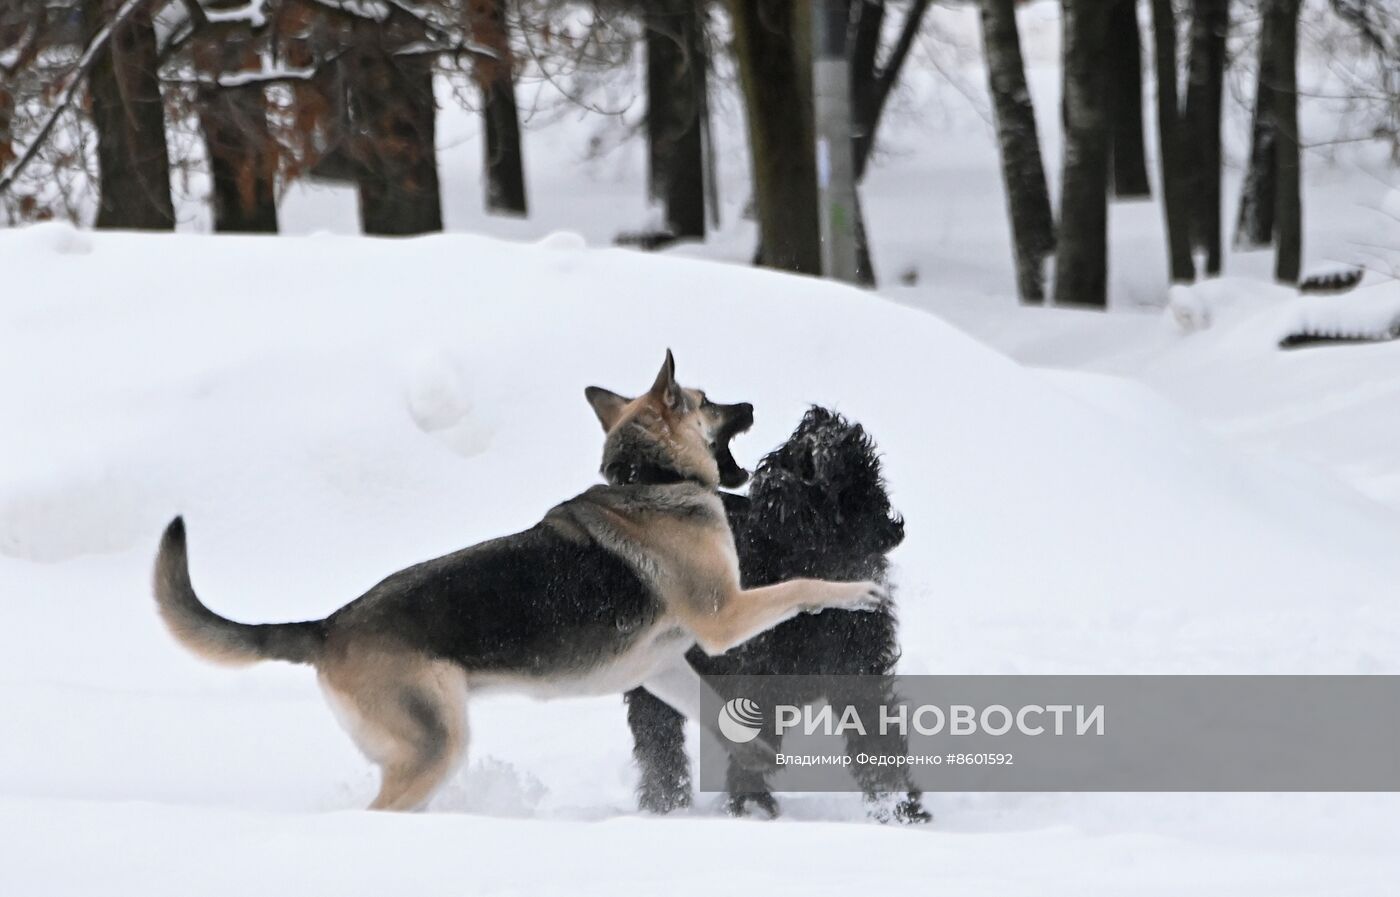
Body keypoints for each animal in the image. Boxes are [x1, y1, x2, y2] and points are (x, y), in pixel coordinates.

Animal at [153, 352, 884, 806]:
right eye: (705, 401)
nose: (752, 404)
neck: (649, 481)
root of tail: (328, 626)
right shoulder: (724, 615)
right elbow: (803, 588)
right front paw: (857, 592)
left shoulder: (662, 666)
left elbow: (713, 710)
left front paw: (755, 753)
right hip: (435, 745)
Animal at [624, 408, 929, 822]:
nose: (820, 422)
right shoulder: (760, 683)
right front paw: (750, 806)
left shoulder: (860, 669)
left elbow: (876, 737)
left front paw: (900, 810)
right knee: (657, 737)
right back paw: (666, 805)